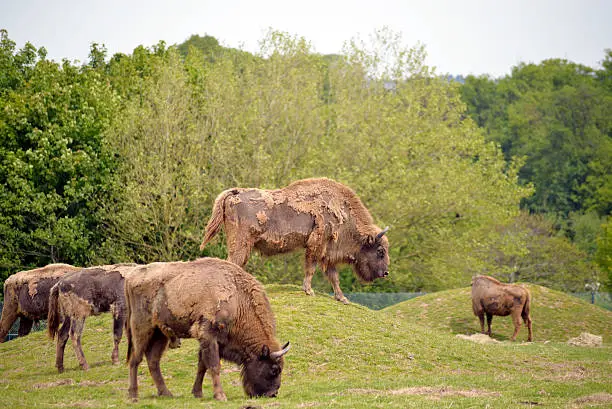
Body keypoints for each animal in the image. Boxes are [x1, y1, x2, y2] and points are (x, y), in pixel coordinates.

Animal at [125, 256, 292, 400]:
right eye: (274, 369)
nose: (273, 394)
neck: (238, 300)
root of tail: (130, 277)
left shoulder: (214, 341)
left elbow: (202, 366)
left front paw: (197, 393)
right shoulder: (208, 335)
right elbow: (214, 365)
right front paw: (220, 396)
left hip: (160, 334)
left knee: (153, 361)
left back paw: (166, 393)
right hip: (142, 329)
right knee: (135, 359)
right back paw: (133, 396)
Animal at [201, 178, 392, 302]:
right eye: (380, 251)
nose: (385, 273)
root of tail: (235, 192)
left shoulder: (328, 253)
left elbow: (334, 277)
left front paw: (342, 298)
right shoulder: (316, 246)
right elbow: (311, 268)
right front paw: (309, 291)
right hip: (241, 244)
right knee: (232, 264)